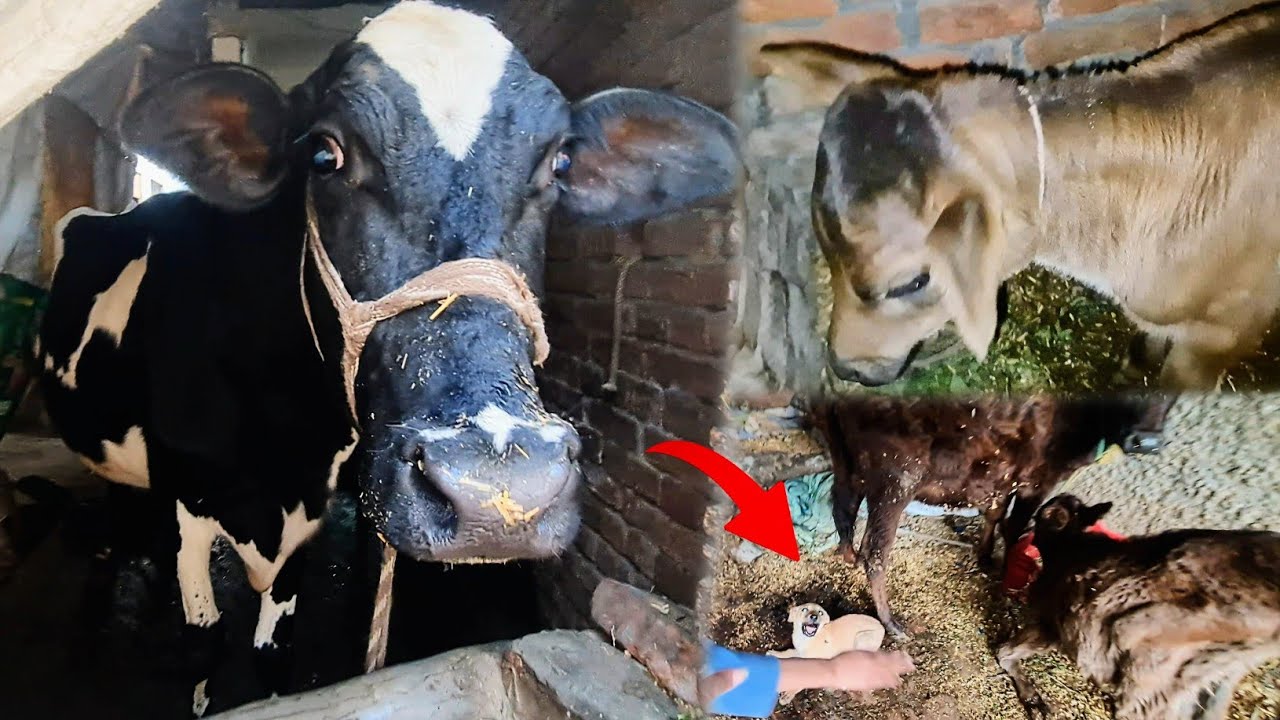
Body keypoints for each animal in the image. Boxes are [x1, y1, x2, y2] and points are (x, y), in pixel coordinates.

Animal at [35, 2, 739, 714]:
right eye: (324, 153)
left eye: (560, 163)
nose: (498, 489)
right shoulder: (190, 500)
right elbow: (202, 643)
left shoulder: (303, 521)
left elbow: (271, 655)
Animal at [999, 494, 1280, 720]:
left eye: (1042, 512)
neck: (1069, 547)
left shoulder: (1054, 623)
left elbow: (1007, 652)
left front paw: (1031, 697)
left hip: (1147, 661)